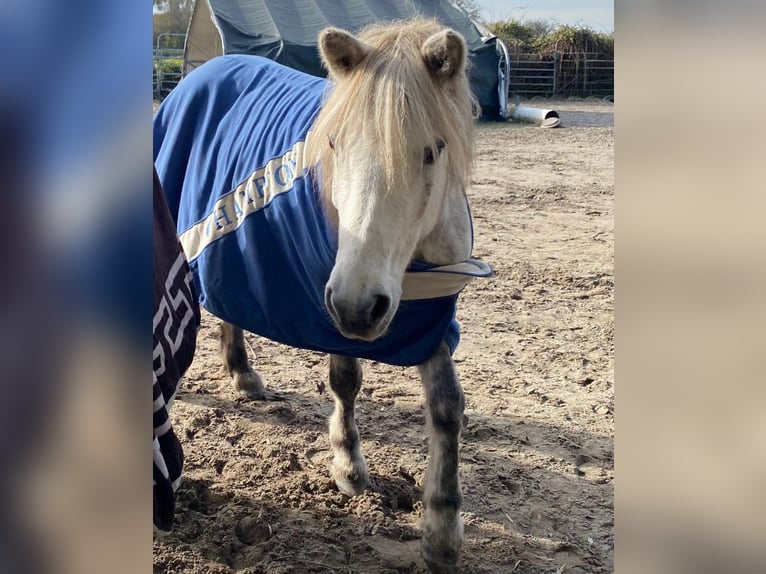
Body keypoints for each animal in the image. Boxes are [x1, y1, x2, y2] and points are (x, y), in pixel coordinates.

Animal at [153, 18, 491, 573]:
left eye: (430, 151)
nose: (359, 305)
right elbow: (345, 381)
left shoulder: (430, 318)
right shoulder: (335, 307)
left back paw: (243, 374)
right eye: (333, 144)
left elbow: (447, 406)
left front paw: (442, 529)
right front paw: (349, 465)